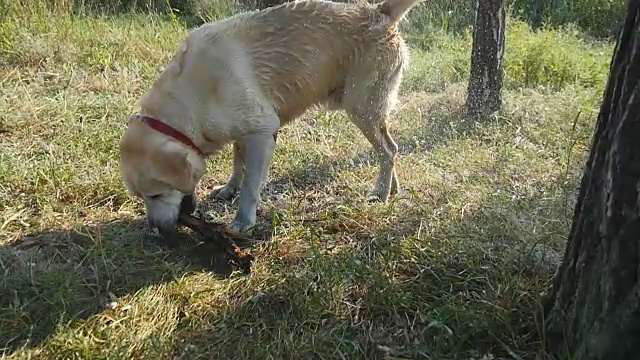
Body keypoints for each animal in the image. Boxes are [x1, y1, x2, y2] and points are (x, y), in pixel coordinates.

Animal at [119, 0, 422, 235]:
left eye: (156, 194)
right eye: (141, 197)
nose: (156, 231)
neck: (191, 98)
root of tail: (378, 10)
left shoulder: (263, 132)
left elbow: (251, 185)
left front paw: (243, 221)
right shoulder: (243, 133)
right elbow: (238, 165)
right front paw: (229, 189)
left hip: (361, 108)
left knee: (387, 150)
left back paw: (380, 192)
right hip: (371, 112)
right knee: (390, 149)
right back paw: (389, 188)